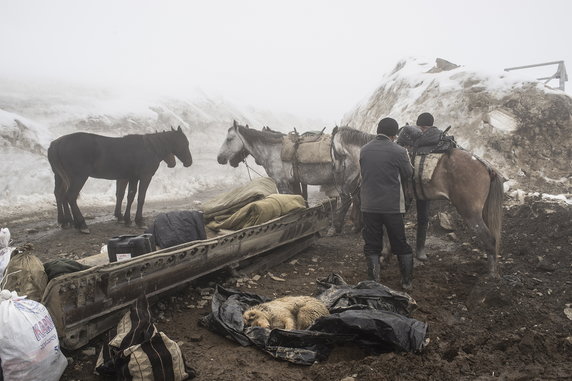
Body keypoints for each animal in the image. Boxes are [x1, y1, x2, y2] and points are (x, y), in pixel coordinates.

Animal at [49, 126, 192, 232]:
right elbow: (140, 198)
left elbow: (128, 196)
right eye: (185, 143)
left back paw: (65, 221)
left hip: (60, 177)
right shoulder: (144, 177)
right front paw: (139, 221)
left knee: (59, 195)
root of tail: (57, 143)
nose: (189, 162)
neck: (150, 149)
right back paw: (81, 224)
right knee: (70, 197)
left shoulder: (131, 177)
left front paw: (126, 219)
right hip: (78, 177)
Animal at [330, 126, 504, 278]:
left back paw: (490, 276)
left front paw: (385, 256)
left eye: (332, 152)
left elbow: (386, 228)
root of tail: (486, 166)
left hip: (470, 213)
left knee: (490, 240)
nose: (336, 177)